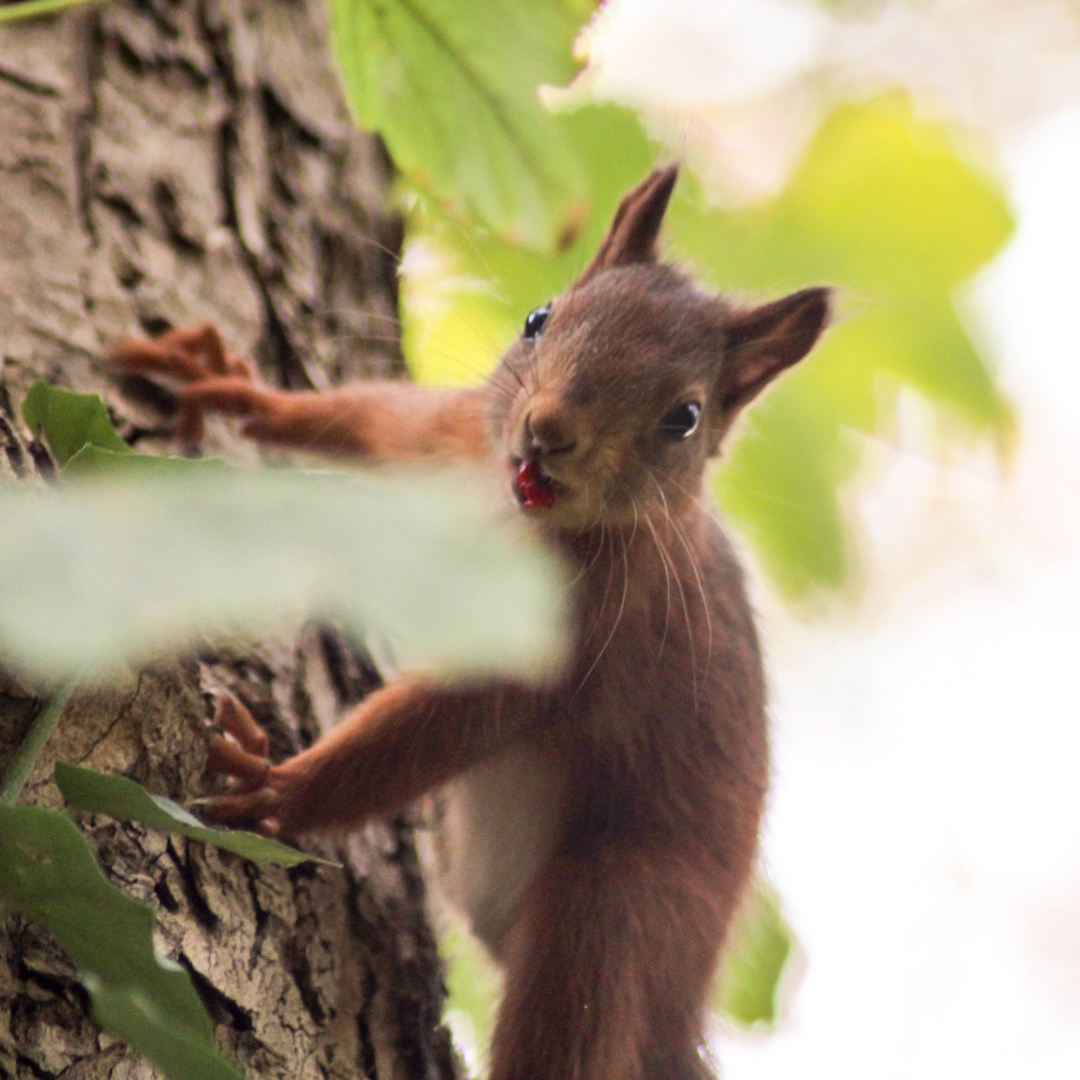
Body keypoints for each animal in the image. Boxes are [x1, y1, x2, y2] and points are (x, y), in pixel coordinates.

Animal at [109, 166, 829, 1080]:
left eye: (685, 418)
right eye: (539, 318)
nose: (549, 433)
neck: (512, 509)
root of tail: (681, 1007)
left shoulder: (582, 623)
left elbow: (434, 727)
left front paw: (275, 785)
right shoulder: (445, 440)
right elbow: (371, 420)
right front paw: (237, 390)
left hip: (609, 920)